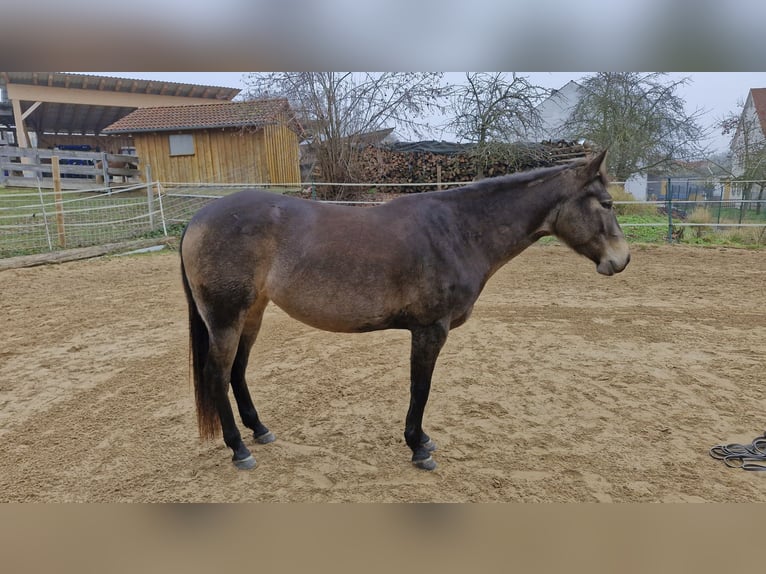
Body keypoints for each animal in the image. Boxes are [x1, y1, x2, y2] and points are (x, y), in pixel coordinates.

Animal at [179, 149, 630, 471]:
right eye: (606, 203)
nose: (622, 260)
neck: (458, 230)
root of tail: (199, 218)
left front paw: (422, 441)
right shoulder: (430, 330)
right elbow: (421, 388)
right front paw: (418, 447)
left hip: (251, 313)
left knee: (237, 371)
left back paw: (260, 430)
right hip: (226, 317)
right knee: (217, 374)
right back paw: (239, 449)